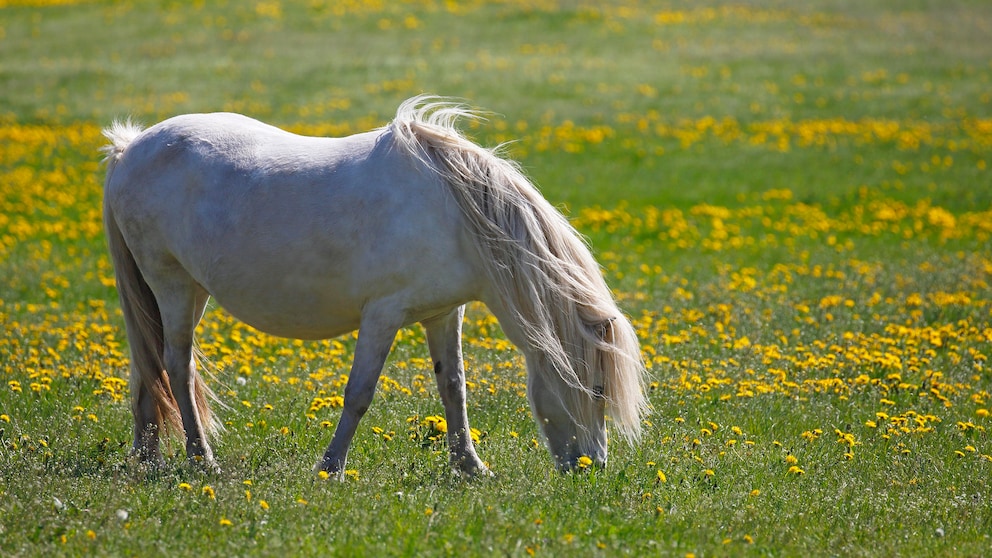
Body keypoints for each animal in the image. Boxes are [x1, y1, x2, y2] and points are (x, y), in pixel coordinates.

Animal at [99, 96, 644, 476]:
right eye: (597, 388)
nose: (592, 469)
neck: (455, 214)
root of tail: (130, 149)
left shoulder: (444, 313)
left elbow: (454, 388)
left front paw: (471, 468)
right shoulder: (382, 315)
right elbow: (359, 392)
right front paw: (330, 469)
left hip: (184, 291)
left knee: (151, 365)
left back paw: (149, 456)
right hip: (173, 284)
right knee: (177, 365)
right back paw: (202, 459)